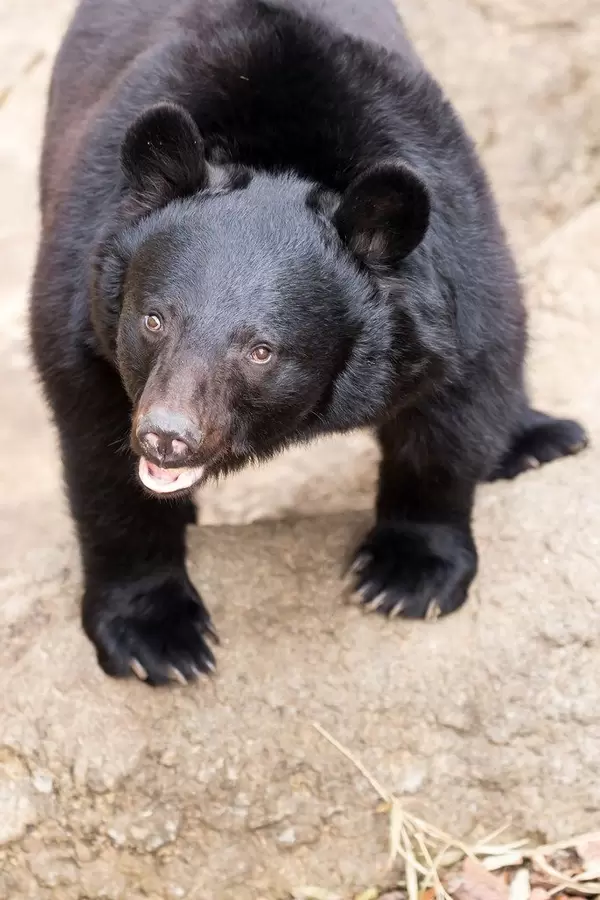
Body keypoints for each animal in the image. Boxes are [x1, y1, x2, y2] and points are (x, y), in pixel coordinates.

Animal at [30, 0, 588, 686]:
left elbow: (459, 403)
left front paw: (407, 578)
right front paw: (158, 641)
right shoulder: (82, 301)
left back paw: (541, 439)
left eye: (261, 351)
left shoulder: (458, 259)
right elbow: (103, 464)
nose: (167, 436)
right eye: (153, 321)